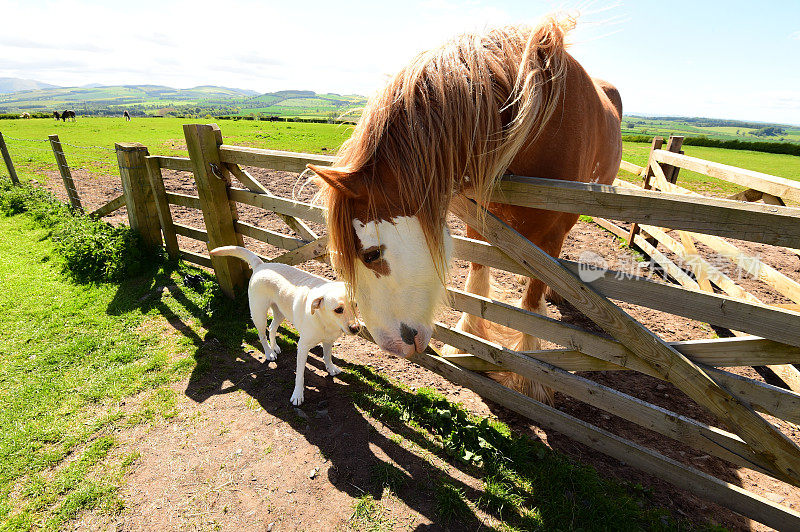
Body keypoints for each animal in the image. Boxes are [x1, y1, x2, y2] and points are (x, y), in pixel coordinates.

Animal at [209, 247, 360, 406]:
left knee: (272, 328)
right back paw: (269, 352)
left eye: (355, 305)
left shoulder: (329, 341)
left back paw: (274, 346)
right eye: (338, 310)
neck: (325, 321)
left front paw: (330, 368)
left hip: (280, 313)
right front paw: (298, 394)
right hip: (259, 315)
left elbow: (327, 356)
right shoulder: (302, 347)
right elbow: (300, 375)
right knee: (262, 335)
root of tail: (261, 265)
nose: (357, 328)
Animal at [310, 14, 620, 402]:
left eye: (370, 255)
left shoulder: (551, 235)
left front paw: (531, 379)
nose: (391, 345)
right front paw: (467, 339)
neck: (533, 122)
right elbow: (477, 279)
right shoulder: (482, 218)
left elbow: (532, 302)